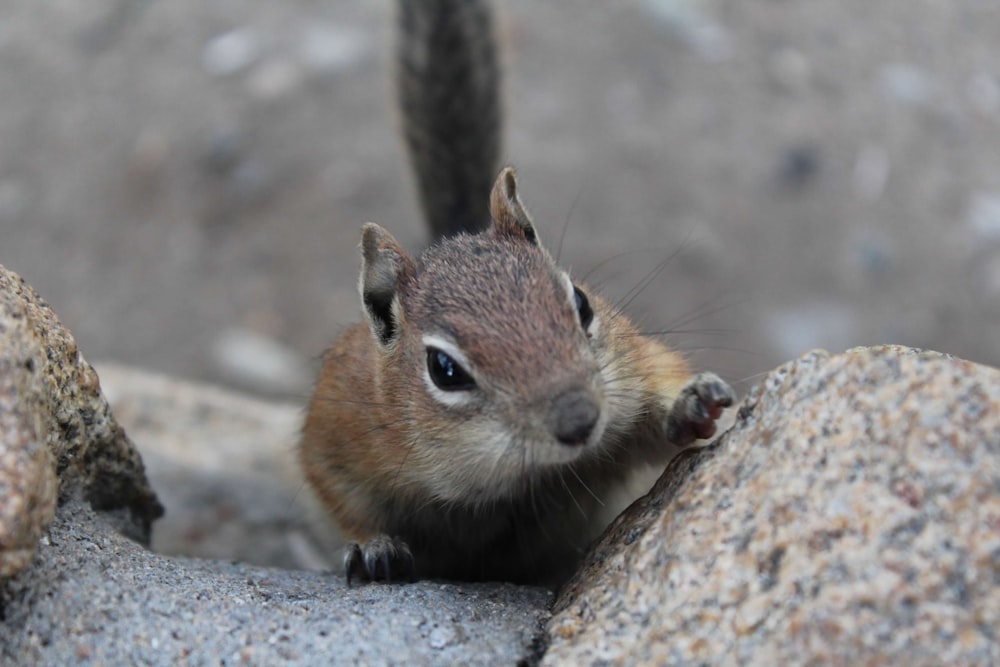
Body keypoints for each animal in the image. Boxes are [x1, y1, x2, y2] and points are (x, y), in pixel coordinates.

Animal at [296, 0, 736, 584]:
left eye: (581, 303)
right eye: (445, 370)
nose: (579, 420)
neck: (512, 476)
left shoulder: (627, 374)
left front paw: (692, 403)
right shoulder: (339, 425)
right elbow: (339, 495)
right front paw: (373, 548)